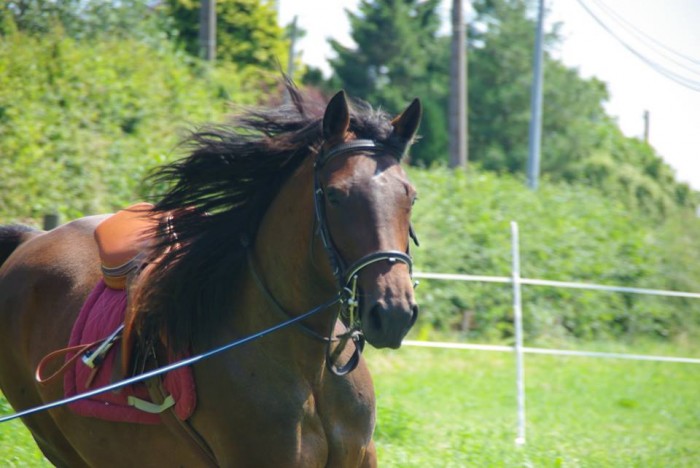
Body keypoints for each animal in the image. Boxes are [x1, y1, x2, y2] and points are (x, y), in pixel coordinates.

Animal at [0, 86, 422, 467]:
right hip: (59, 446)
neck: (310, 372)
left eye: (410, 196)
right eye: (334, 195)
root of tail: (30, 240)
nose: (393, 313)